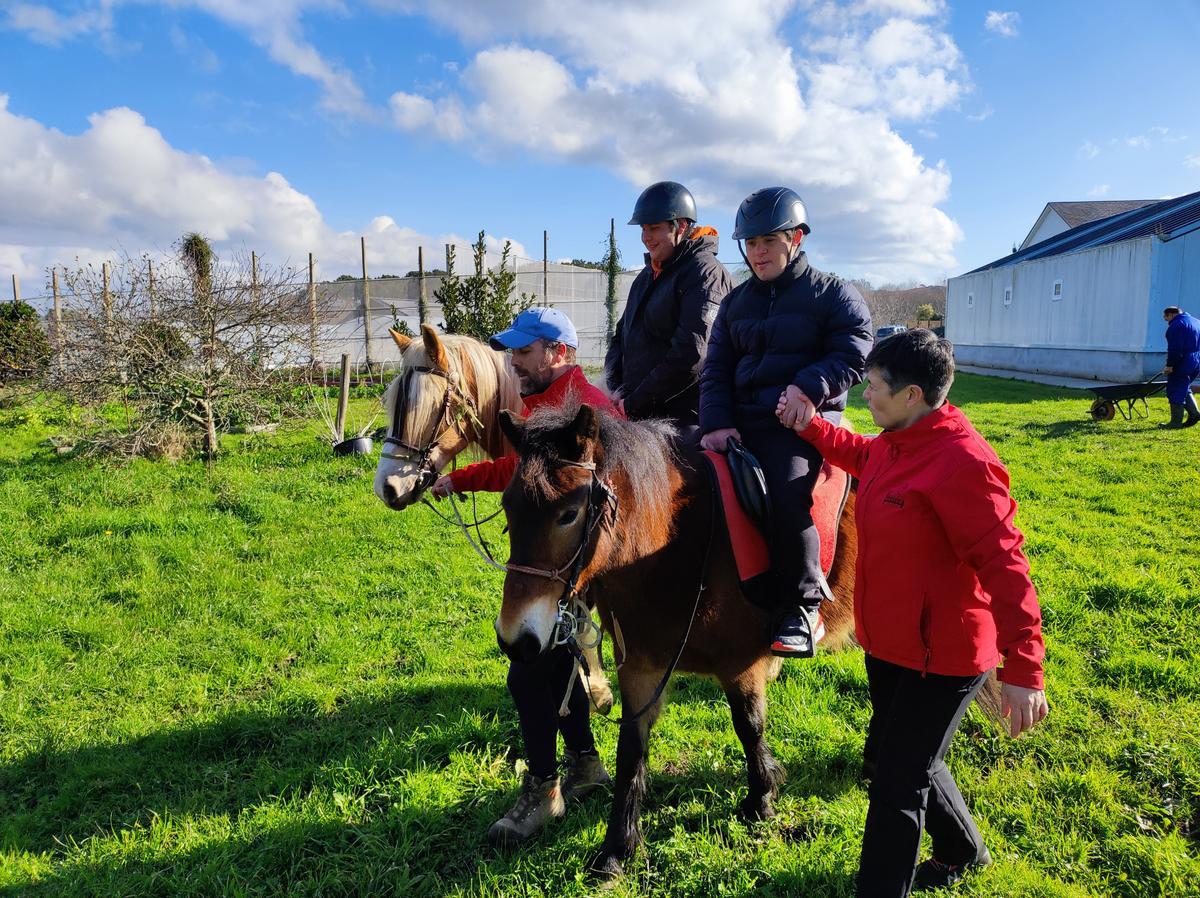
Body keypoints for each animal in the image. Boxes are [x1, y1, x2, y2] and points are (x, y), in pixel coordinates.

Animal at [496, 400, 864, 878]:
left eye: (568, 514)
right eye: (508, 508)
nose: (514, 639)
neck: (674, 544)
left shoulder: (740, 666)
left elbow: (749, 727)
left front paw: (761, 799)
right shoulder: (641, 667)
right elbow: (631, 750)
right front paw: (617, 848)